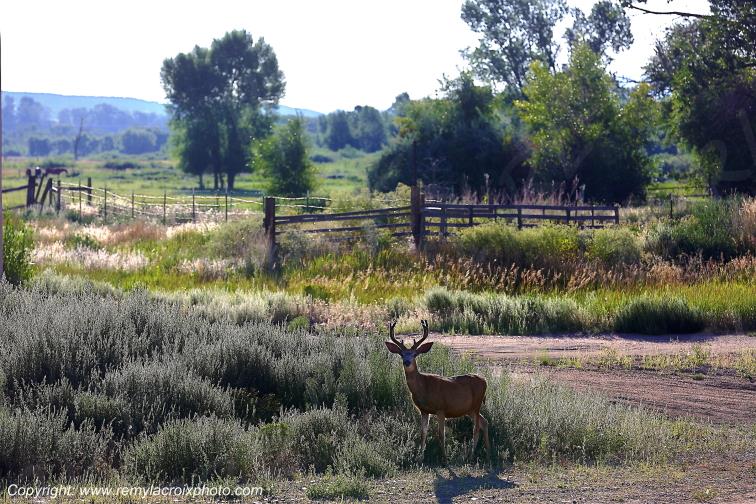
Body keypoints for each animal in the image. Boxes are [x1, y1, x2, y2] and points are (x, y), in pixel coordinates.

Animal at [385, 320, 490, 463]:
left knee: (476, 429)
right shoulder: (424, 410)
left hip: (477, 405)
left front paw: (445, 459)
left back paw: (471, 456)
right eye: (401, 354)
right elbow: (422, 433)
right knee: (484, 423)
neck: (423, 388)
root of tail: (485, 380)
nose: (407, 362)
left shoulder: (441, 409)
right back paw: (487, 453)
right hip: (469, 409)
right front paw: (420, 458)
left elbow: (441, 434)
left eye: (415, 354)